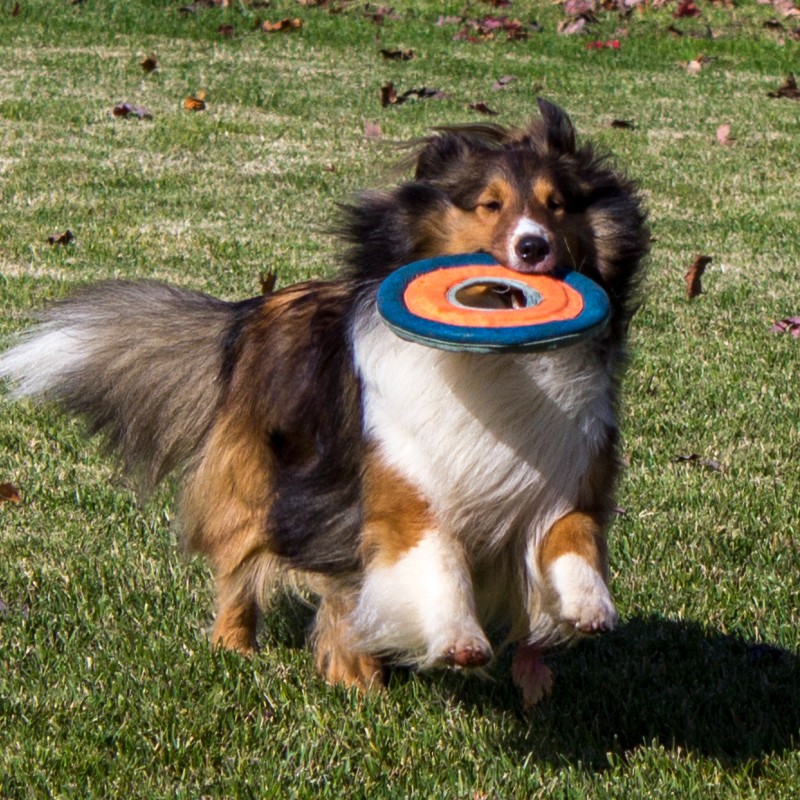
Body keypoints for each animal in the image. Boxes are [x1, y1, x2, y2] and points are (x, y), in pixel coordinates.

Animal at [0, 98, 648, 708]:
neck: (499, 363)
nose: (534, 246)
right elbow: (436, 558)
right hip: (259, 487)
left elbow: (574, 535)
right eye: (489, 205)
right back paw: (258, 653)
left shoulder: (569, 469)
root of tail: (248, 312)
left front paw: (589, 607)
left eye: (557, 204)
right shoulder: (399, 483)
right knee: (243, 568)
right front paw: (458, 640)